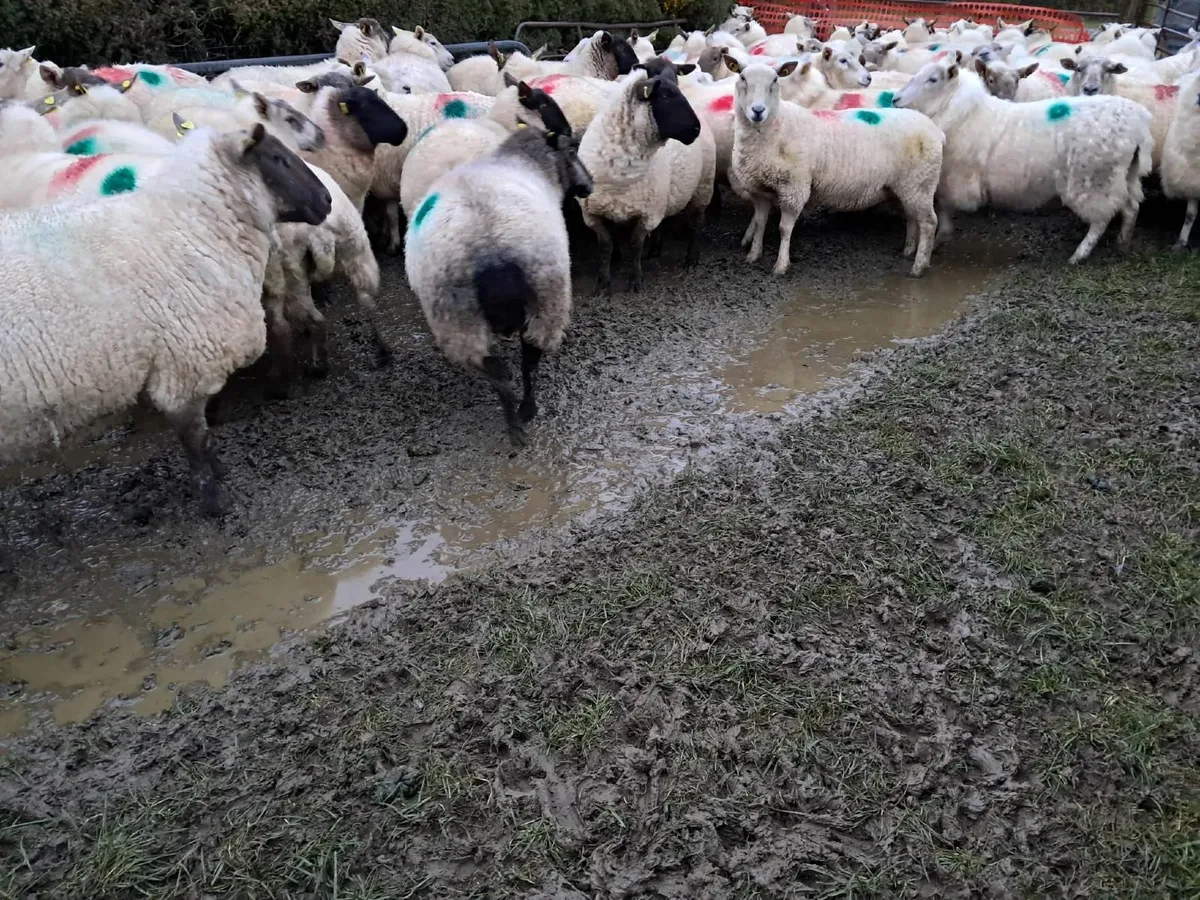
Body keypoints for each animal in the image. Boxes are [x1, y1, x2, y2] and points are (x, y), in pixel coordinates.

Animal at [0, 124, 331, 515]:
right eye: (278, 158)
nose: (327, 200)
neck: (188, 229)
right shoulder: (184, 368)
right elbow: (196, 439)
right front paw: (213, 497)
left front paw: (217, 475)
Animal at [404, 126, 594, 444]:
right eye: (571, 150)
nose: (589, 185)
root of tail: (489, 247)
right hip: (546, 296)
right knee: (528, 359)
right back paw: (524, 410)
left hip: (458, 314)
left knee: (489, 363)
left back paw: (511, 412)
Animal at [577, 66, 710, 293]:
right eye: (665, 95)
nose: (696, 129)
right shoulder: (593, 213)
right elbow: (605, 246)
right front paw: (603, 283)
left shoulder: (646, 214)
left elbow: (635, 246)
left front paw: (635, 280)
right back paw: (655, 249)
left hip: (702, 188)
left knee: (696, 225)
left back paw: (692, 258)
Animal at [725, 59, 941, 277]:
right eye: (742, 77)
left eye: (775, 80)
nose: (758, 110)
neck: (776, 125)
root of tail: (935, 129)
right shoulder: (757, 189)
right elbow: (760, 223)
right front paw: (753, 255)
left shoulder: (794, 188)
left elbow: (784, 229)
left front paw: (781, 265)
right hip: (907, 187)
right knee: (912, 217)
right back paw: (909, 249)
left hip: (921, 183)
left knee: (929, 222)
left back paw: (919, 265)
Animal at [892, 58, 1153, 263]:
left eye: (932, 80)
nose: (894, 99)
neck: (961, 112)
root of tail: (1139, 124)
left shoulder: (953, 179)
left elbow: (944, 210)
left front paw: (940, 239)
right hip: (1126, 176)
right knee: (1131, 207)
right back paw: (1122, 244)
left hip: (1093, 182)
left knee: (1101, 219)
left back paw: (1079, 255)